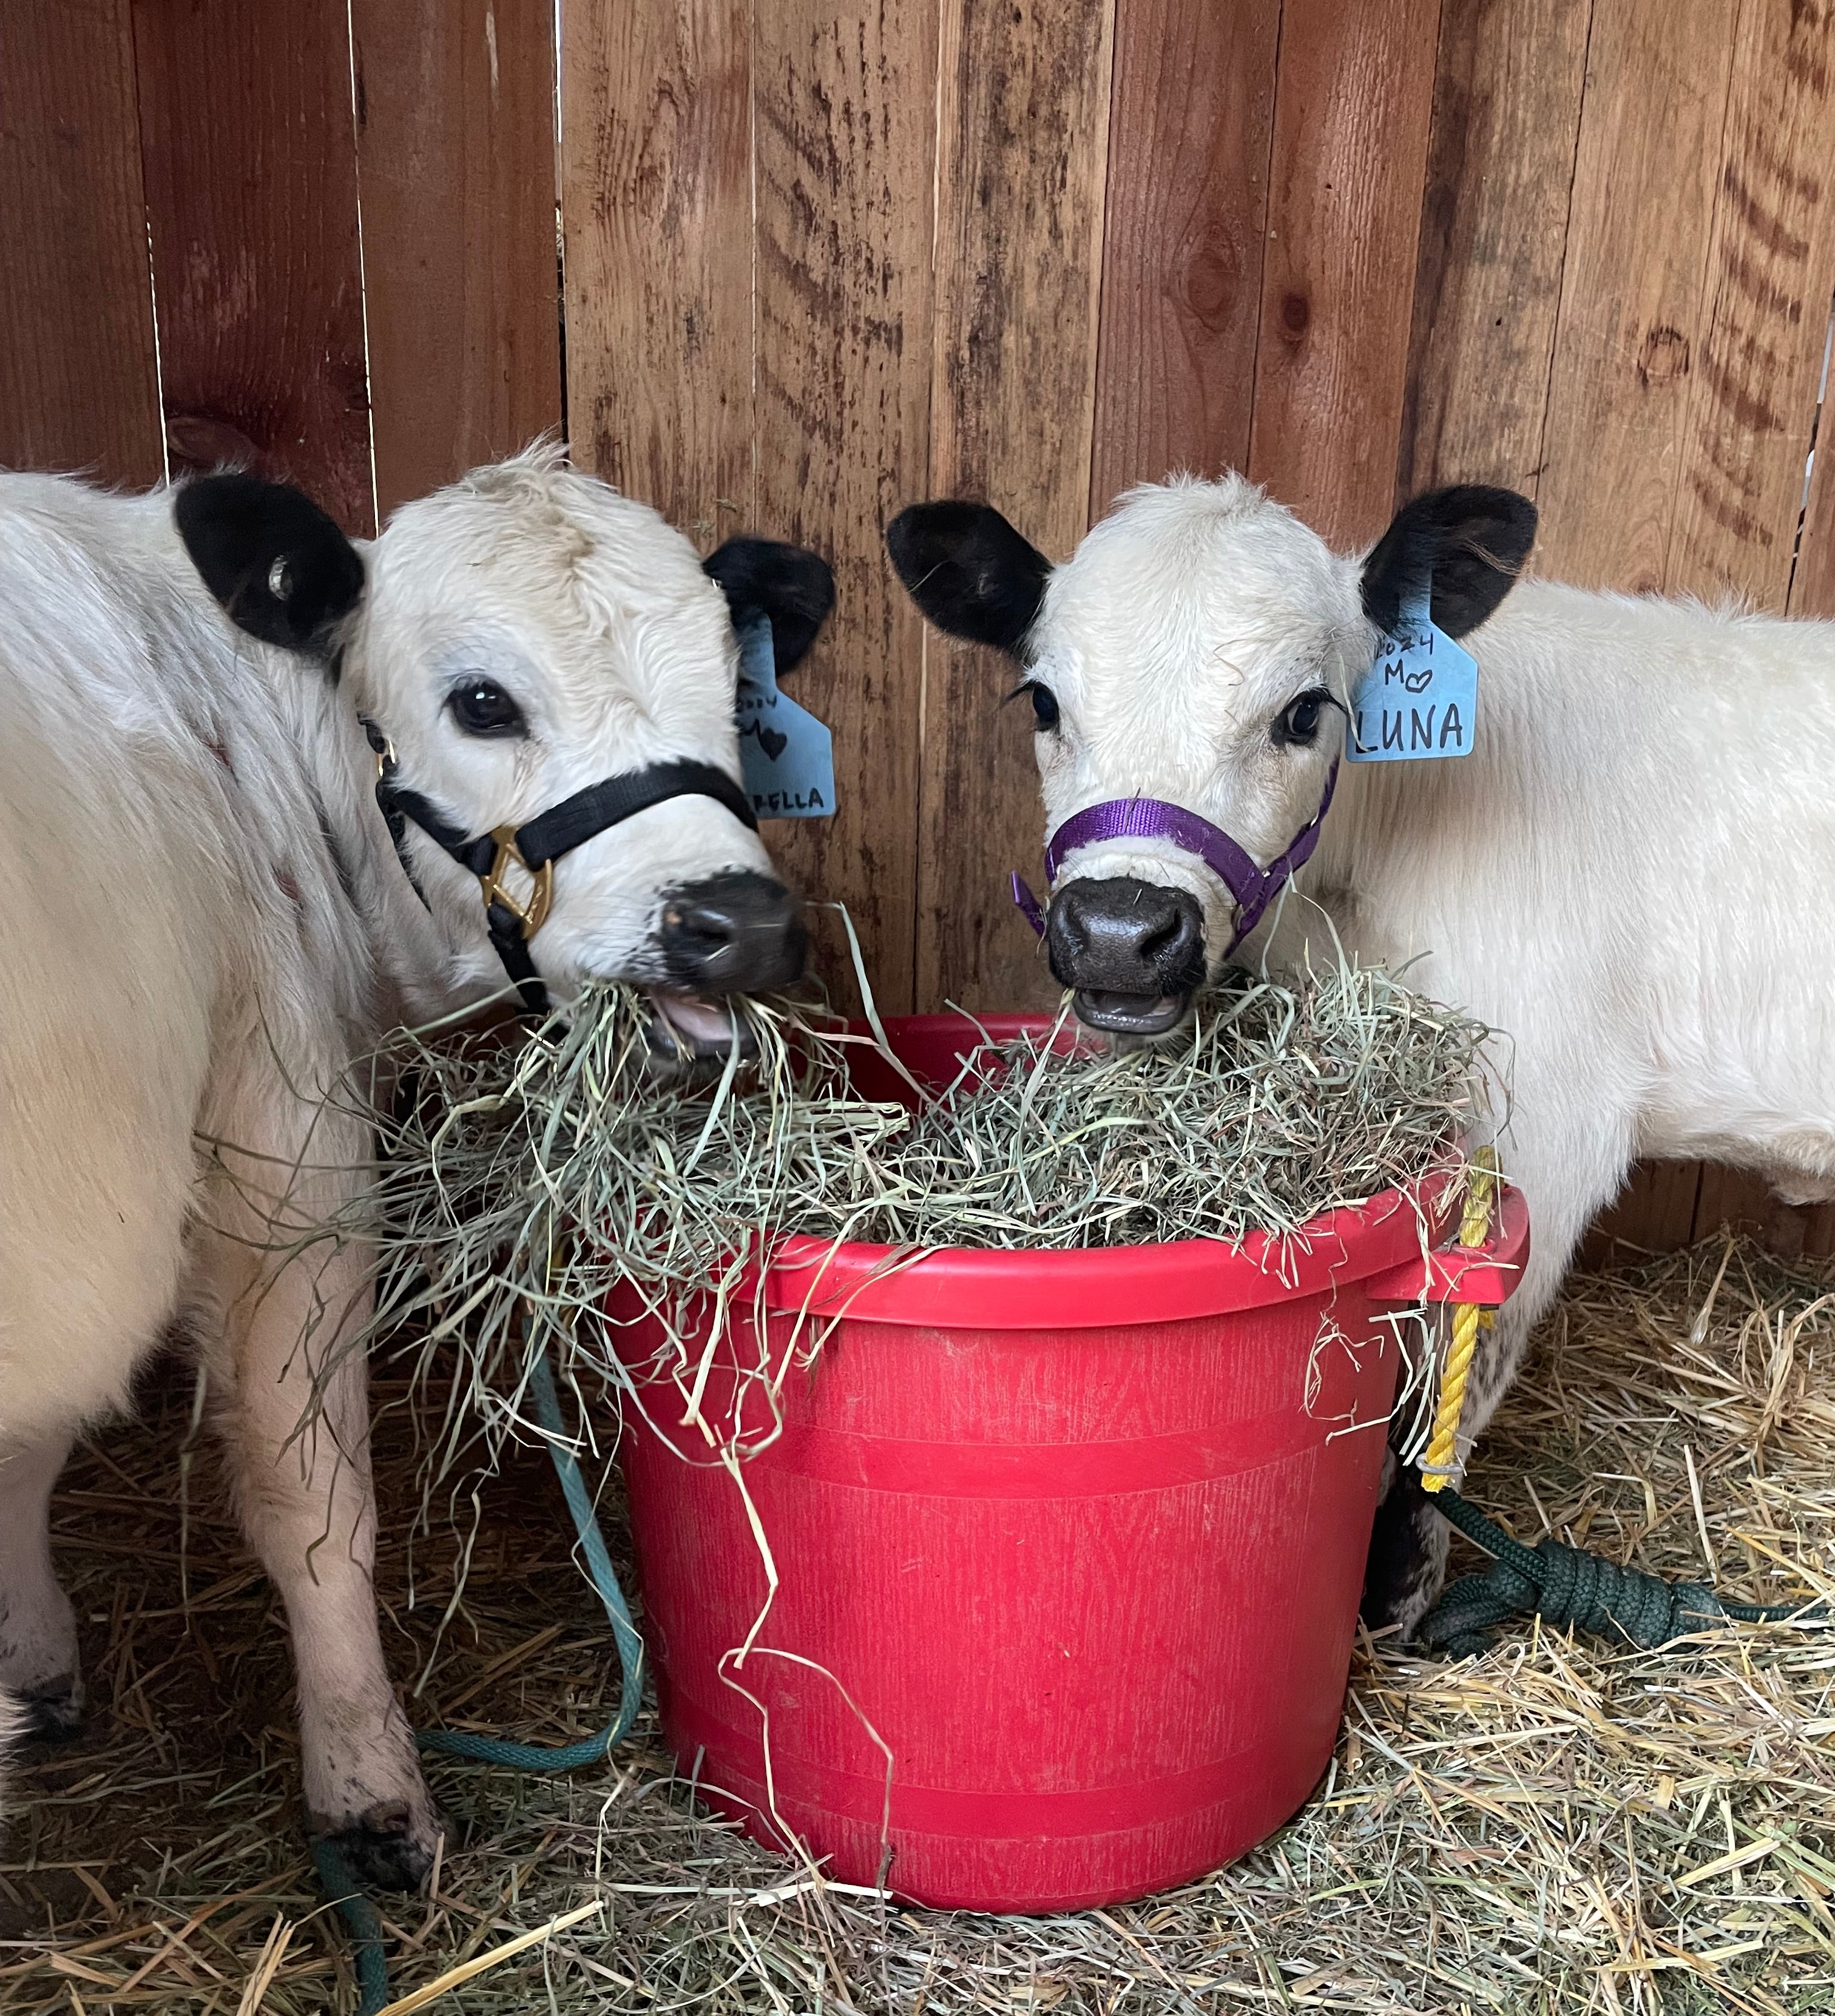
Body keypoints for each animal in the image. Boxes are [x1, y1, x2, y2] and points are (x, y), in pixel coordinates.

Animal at [0, 444, 832, 1883]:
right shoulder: (281, 1162)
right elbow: (312, 1499)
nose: (735, 919)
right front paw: (369, 1786)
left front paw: (32, 1658)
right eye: (481, 700)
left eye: (737, 682)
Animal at [887, 476, 1835, 1632]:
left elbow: (1446, 1379)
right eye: (1041, 703)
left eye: (1304, 712)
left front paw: (1396, 1592)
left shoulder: (1552, 1112)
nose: (1118, 928)